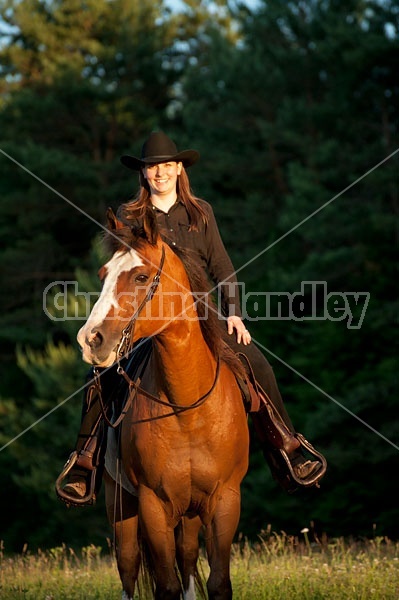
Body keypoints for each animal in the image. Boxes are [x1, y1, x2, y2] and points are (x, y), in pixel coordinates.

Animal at [77, 207, 250, 600]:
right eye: (103, 275)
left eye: (141, 276)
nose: (90, 339)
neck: (188, 407)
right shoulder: (152, 504)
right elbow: (165, 586)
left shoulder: (225, 500)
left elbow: (217, 582)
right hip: (121, 507)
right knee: (128, 568)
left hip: (189, 514)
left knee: (185, 559)